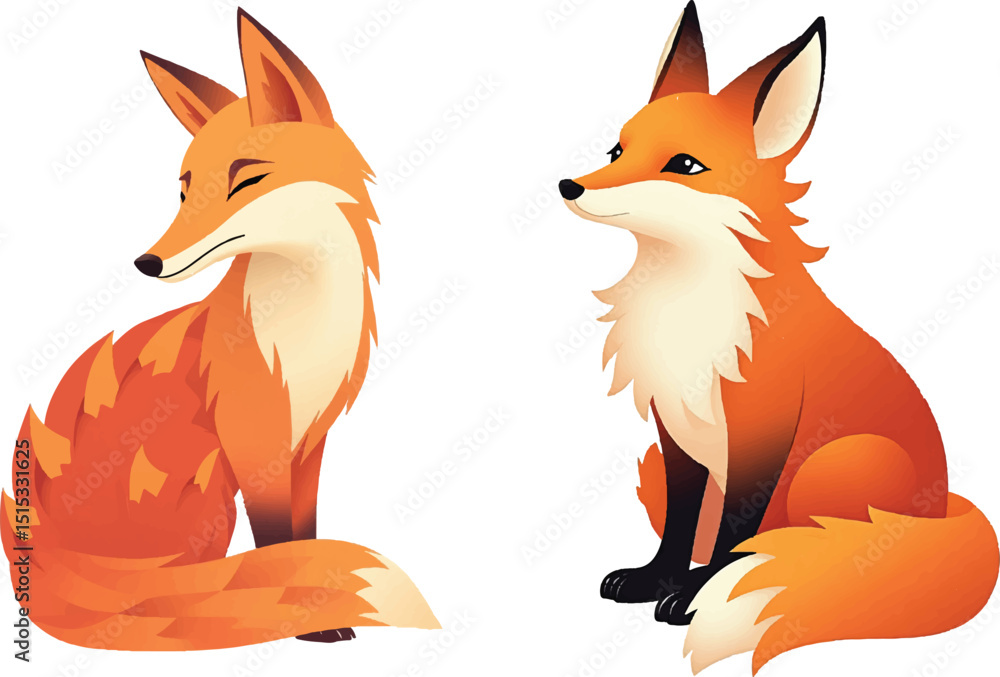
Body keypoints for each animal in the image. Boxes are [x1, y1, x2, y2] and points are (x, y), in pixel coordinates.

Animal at [2, 9, 438, 650]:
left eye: (245, 180)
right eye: (184, 188)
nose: (147, 263)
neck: (299, 327)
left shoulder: (309, 440)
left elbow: (304, 531)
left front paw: (309, 605)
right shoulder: (255, 441)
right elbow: (278, 540)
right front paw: (306, 621)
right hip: (210, 501)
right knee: (179, 592)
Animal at [559, 2, 999, 673]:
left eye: (683, 165)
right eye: (616, 148)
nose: (570, 185)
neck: (685, 305)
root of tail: (947, 504)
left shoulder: (759, 431)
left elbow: (732, 533)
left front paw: (694, 594)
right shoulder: (676, 430)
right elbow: (681, 522)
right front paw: (657, 580)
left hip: (838, 463)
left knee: (817, 542)